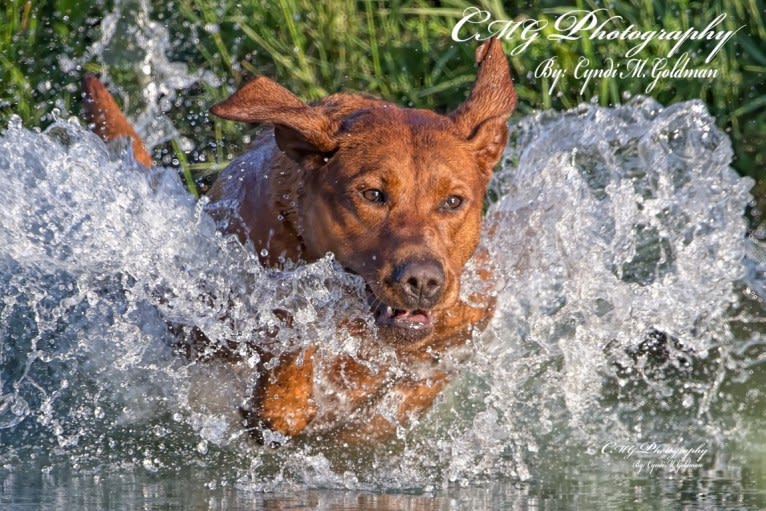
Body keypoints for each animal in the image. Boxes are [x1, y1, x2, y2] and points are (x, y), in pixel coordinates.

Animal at [82, 38, 516, 442]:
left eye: (453, 201)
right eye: (373, 194)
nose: (423, 281)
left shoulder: (462, 327)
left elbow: (407, 393)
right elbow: (288, 348)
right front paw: (286, 396)